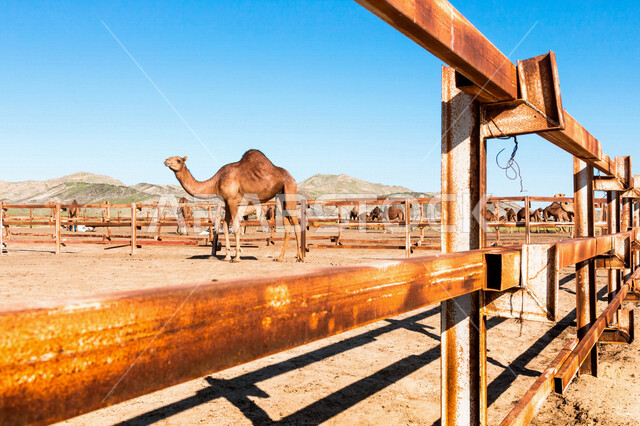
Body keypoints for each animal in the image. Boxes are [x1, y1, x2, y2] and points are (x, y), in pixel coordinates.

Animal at [165, 150, 302, 262]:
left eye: (178, 160)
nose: (166, 161)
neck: (217, 181)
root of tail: (292, 177)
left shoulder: (232, 200)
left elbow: (235, 226)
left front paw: (237, 257)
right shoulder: (226, 201)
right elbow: (225, 226)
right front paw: (227, 256)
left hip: (289, 190)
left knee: (296, 224)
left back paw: (300, 257)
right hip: (280, 198)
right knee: (288, 226)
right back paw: (280, 258)